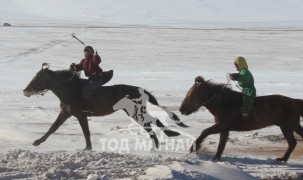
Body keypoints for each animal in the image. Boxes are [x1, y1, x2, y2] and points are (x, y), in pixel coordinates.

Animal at [23, 63, 188, 150]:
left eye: (38, 77)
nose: (25, 91)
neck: (70, 90)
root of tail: (140, 90)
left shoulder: (81, 114)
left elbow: (86, 132)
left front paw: (87, 148)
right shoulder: (65, 112)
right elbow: (53, 127)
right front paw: (37, 142)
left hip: (134, 112)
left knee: (151, 122)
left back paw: (163, 139)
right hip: (134, 112)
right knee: (152, 122)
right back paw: (159, 142)